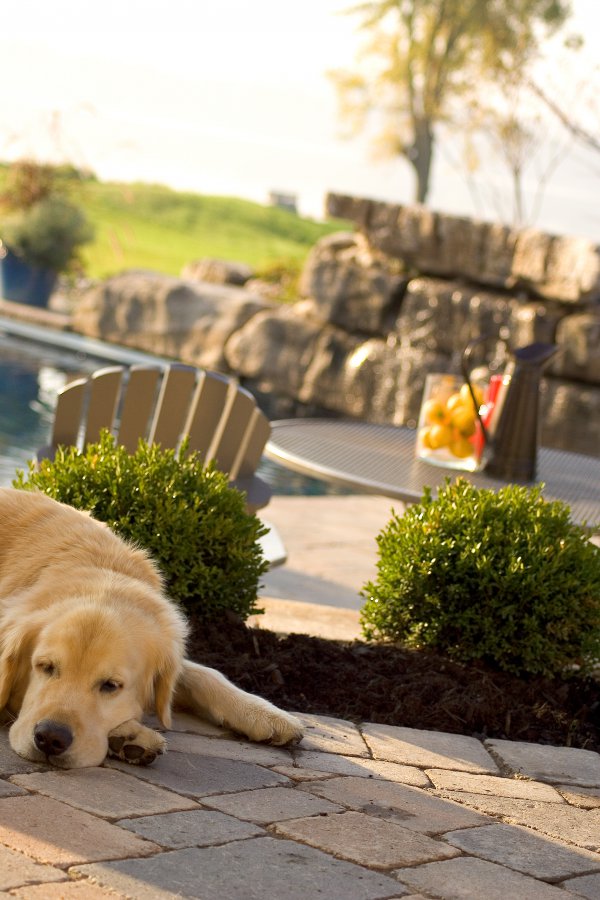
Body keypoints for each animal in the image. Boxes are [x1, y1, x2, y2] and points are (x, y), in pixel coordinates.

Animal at [0, 488, 302, 768]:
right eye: (45, 667)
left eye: (111, 686)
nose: (51, 738)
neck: (101, 568)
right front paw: (131, 734)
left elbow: (204, 673)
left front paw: (267, 714)